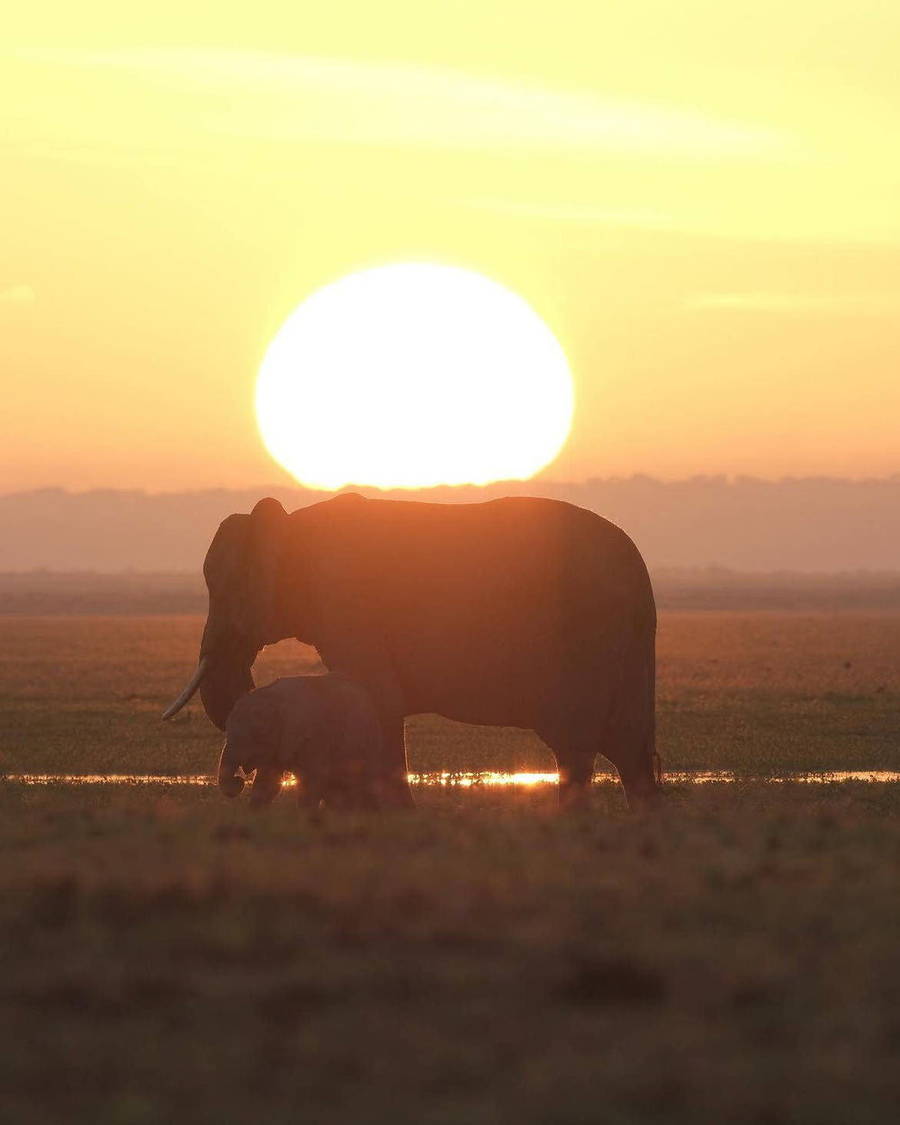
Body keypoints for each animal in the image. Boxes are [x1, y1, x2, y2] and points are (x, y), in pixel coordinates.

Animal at [217, 674, 385, 810]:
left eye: (259, 734)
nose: (239, 780)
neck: (277, 700)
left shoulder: (314, 735)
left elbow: (312, 777)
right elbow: (268, 781)